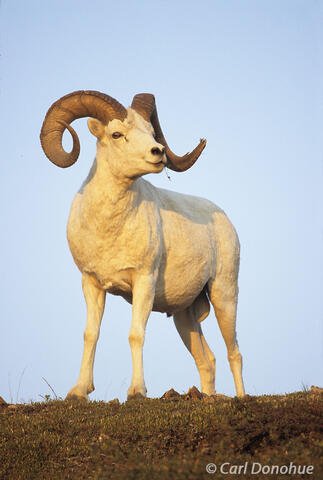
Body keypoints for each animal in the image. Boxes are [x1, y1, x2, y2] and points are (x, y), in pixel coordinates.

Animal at [40, 90, 246, 402]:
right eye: (117, 134)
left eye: (150, 132)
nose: (157, 152)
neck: (109, 229)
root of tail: (225, 221)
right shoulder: (91, 283)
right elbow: (90, 334)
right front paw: (79, 392)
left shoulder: (143, 281)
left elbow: (135, 334)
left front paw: (137, 392)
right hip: (185, 318)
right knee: (207, 361)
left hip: (224, 295)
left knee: (234, 353)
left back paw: (243, 398)